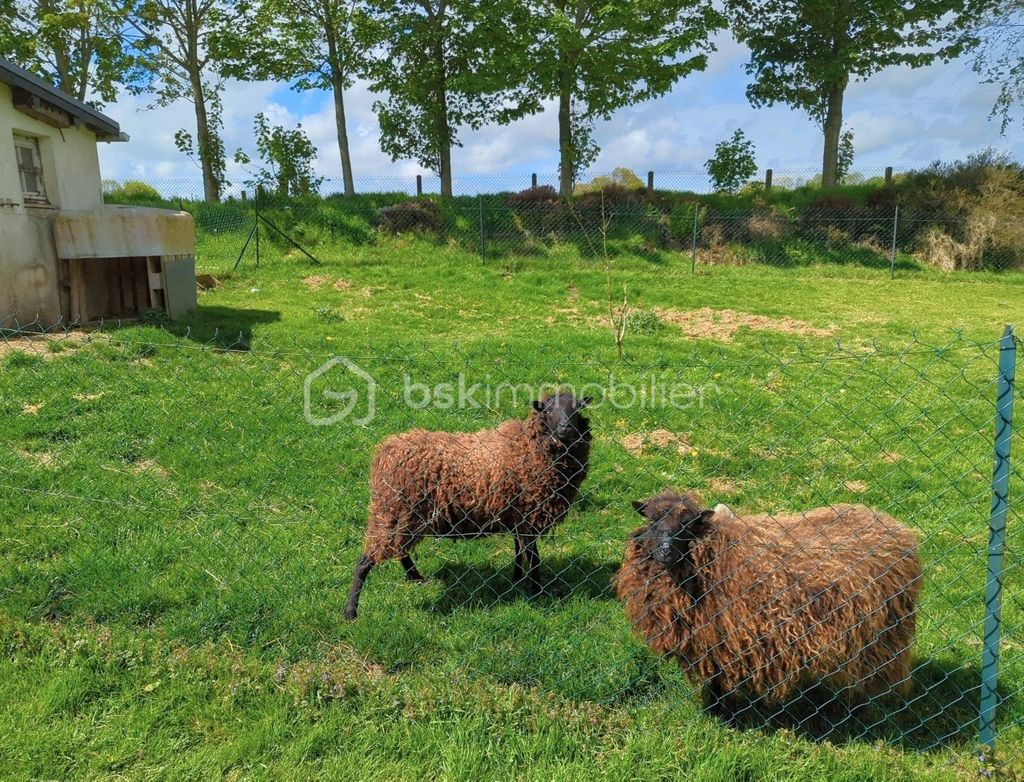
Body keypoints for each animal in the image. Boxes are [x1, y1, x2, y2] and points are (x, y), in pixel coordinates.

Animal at [342, 393, 593, 618]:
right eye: (547, 411)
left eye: (577, 408)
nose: (565, 428)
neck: (528, 448)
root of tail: (385, 452)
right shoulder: (529, 514)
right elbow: (534, 557)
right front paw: (537, 592)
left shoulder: (517, 513)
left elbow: (519, 549)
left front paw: (517, 577)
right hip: (396, 509)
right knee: (366, 560)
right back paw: (351, 611)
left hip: (401, 514)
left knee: (399, 549)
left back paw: (416, 578)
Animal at [618, 495, 925, 708]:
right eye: (652, 521)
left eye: (688, 526)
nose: (666, 552)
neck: (715, 557)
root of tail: (897, 529)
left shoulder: (722, 637)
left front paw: (720, 713)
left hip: (886, 633)